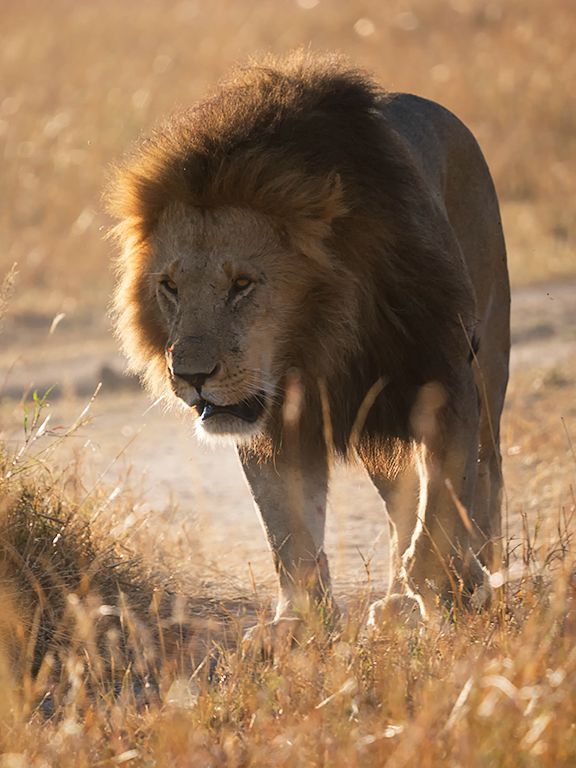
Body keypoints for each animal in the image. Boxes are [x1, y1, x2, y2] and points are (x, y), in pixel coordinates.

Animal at [107, 53, 510, 632]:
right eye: (170, 287)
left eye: (242, 284)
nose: (190, 376)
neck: (315, 345)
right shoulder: (276, 421)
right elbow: (287, 526)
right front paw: (297, 622)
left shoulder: (442, 379)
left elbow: (444, 504)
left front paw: (453, 587)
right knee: (400, 500)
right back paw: (397, 599)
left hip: (487, 365)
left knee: (488, 477)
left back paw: (486, 574)